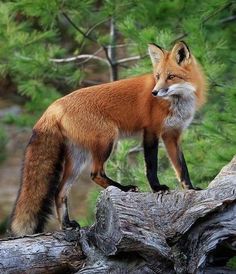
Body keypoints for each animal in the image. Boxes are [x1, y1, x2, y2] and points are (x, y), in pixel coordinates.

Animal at [9, 40, 206, 235]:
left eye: (171, 76)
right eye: (157, 77)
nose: (154, 92)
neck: (177, 101)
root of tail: (54, 106)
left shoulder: (172, 135)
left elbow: (181, 167)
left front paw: (190, 188)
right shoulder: (151, 132)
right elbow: (151, 165)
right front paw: (157, 188)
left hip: (78, 158)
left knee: (59, 192)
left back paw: (66, 224)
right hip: (107, 140)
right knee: (95, 174)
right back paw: (124, 188)